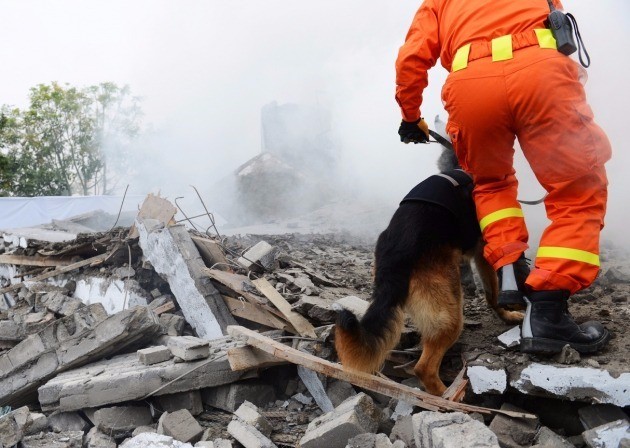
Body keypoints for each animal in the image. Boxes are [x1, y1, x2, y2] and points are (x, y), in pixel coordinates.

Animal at [336, 136, 524, 396]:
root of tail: (395, 255)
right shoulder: (483, 251)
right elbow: (493, 292)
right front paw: (507, 314)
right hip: (449, 315)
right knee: (423, 368)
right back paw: (449, 396)